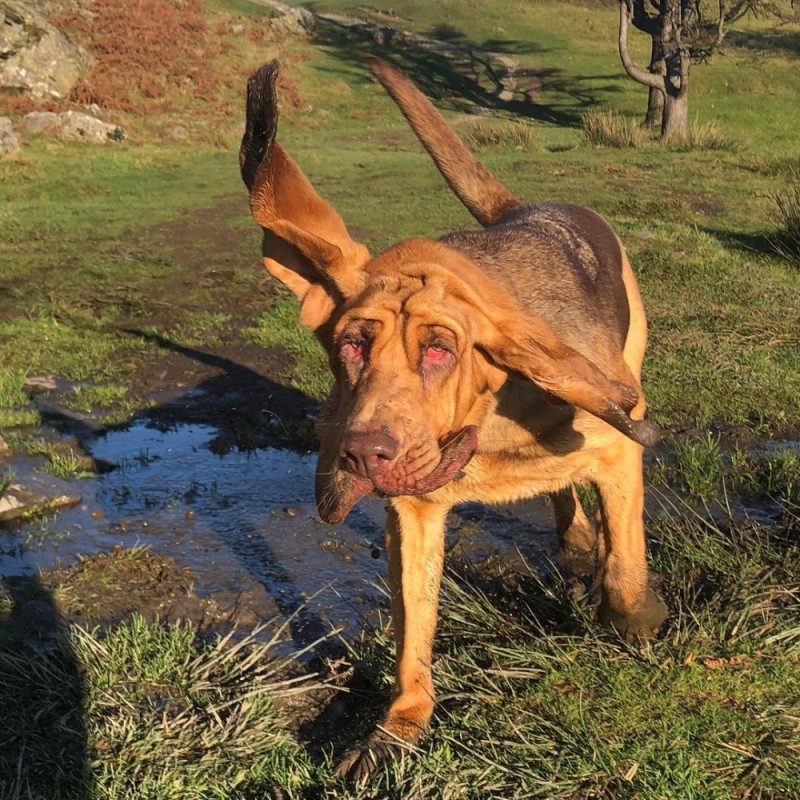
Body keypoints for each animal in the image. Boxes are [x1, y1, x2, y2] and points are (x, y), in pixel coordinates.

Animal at [239, 57, 668, 780]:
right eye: (351, 345)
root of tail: (524, 208)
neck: (489, 420)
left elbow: (627, 563)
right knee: (562, 499)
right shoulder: (412, 514)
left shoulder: (618, 454)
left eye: (440, 349)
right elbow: (413, 630)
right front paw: (398, 728)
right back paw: (574, 538)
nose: (363, 455)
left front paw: (635, 618)